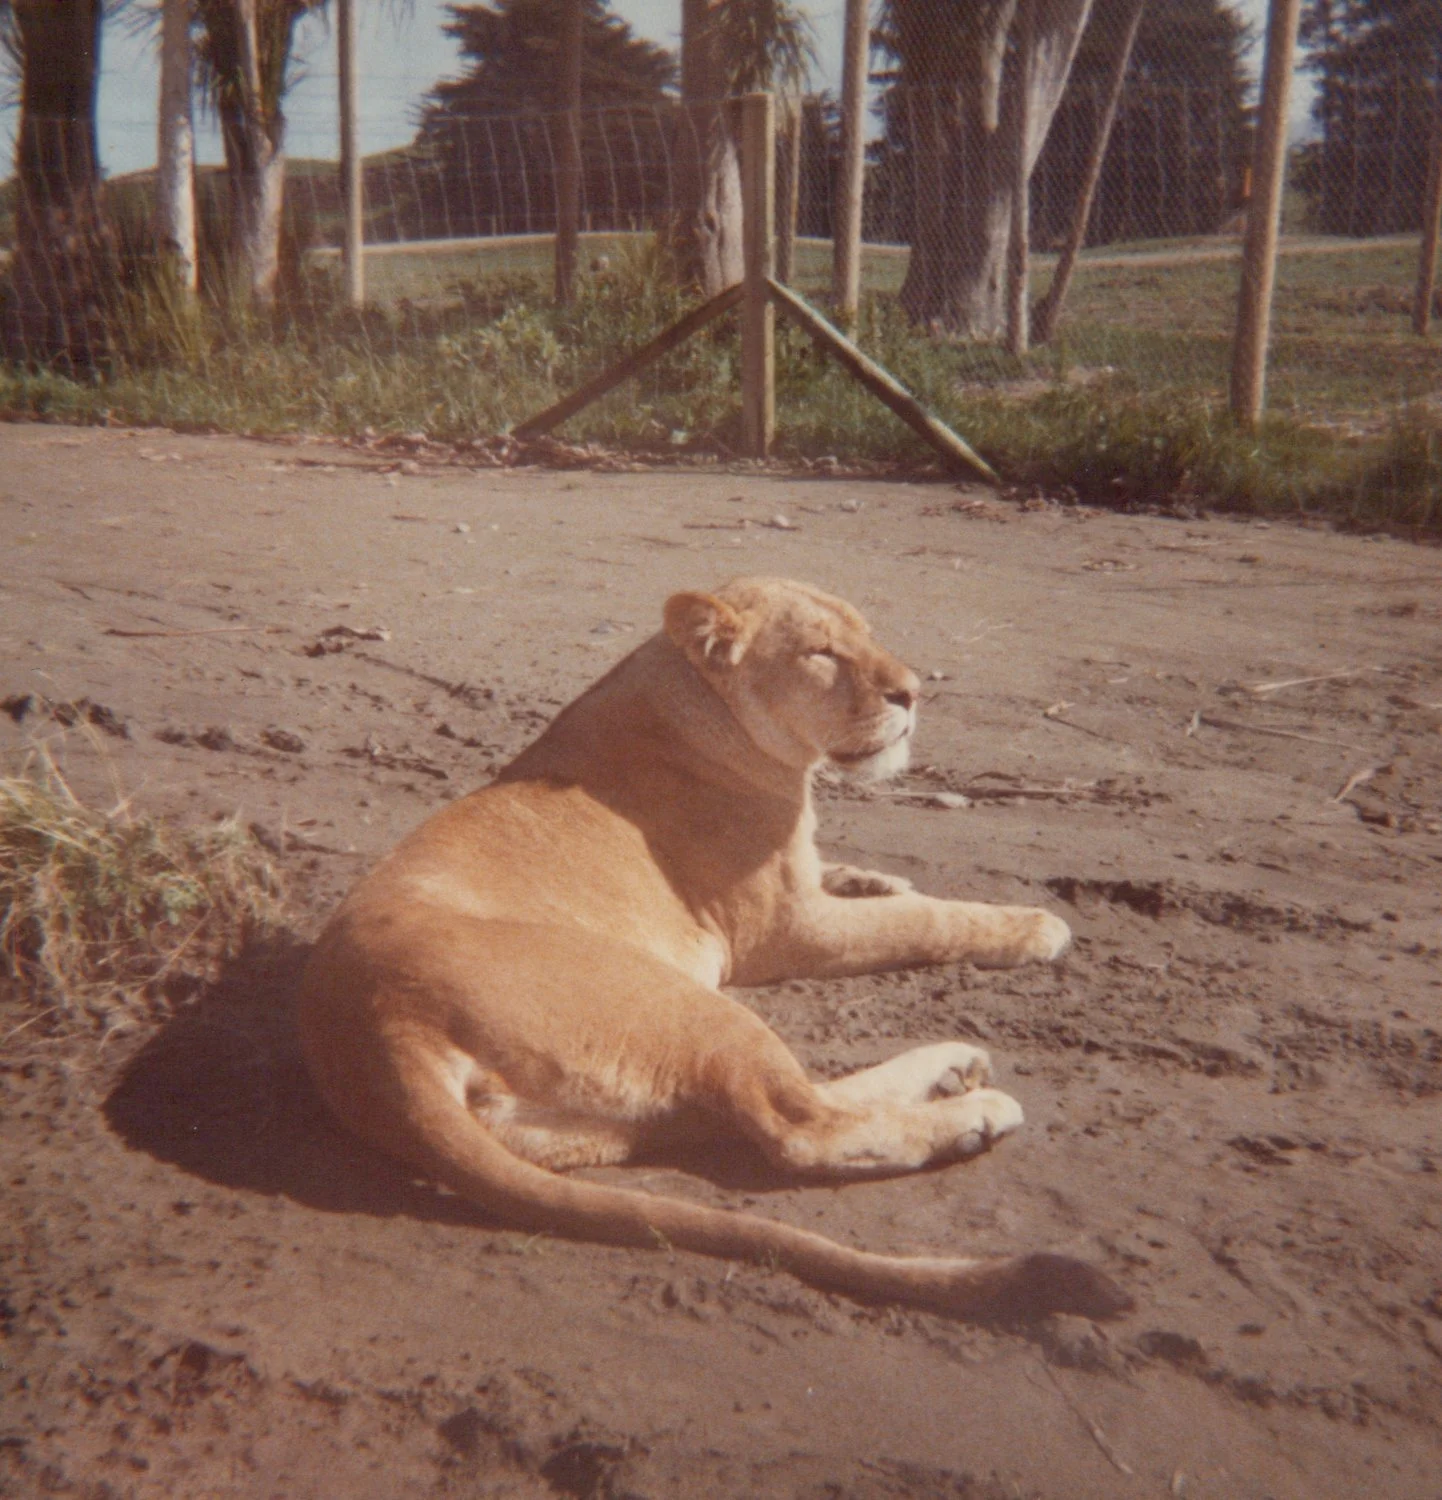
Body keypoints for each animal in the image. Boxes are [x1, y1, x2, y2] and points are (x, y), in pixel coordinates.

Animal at [297, 577, 1130, 1321]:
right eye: (822, 653)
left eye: (865, 633)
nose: (914, 693)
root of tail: (378, 1029)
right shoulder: (788, 932)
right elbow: (926, 918)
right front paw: (1031, 925)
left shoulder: (802, 893)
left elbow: (872, 885)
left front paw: (876, 876)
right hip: (685, 1004)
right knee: (797, 1125)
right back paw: (972, 1109)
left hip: (591, 1118)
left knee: (757, 1111)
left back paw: (951, 1070)